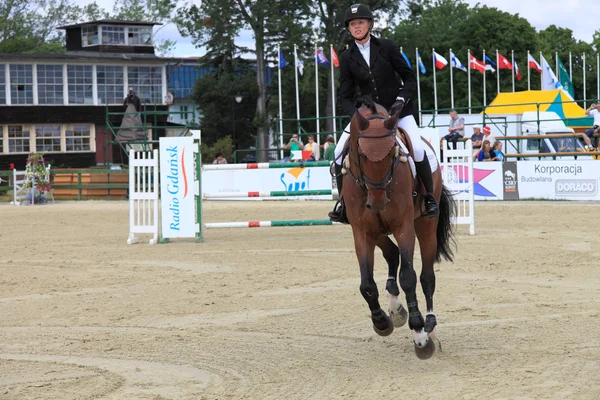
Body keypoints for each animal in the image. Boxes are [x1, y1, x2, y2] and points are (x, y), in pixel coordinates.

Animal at [342, 97, 454, 360]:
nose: (378, 202)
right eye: (361, 155)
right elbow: (366, 284)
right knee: (391, 254)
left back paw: (430, 325)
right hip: (377, 230)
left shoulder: (404, 226)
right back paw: (395, 307)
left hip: (425, 225)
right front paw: (382, 321)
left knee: (426, 277)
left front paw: (420, 336)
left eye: (393, 152)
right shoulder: (361, 231)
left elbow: (409, 278)